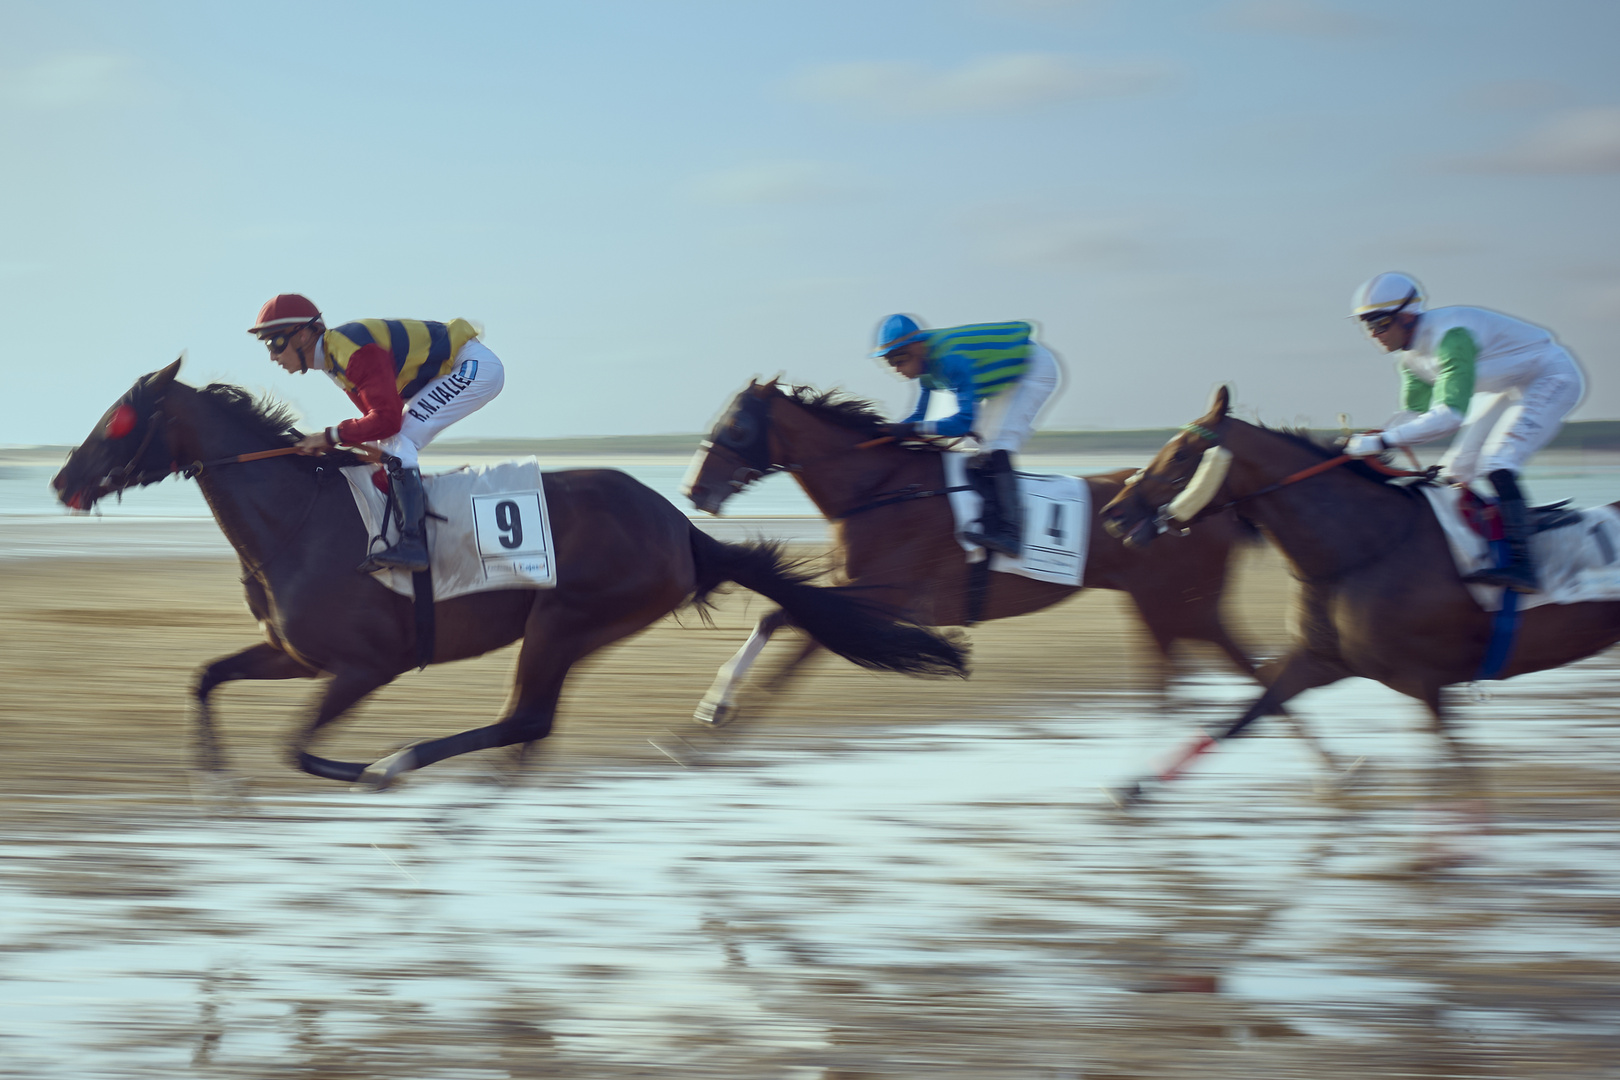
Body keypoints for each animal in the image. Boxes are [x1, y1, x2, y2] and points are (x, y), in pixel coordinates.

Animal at [50, 361, 959, 786]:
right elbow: (206, 677)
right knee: (527, 726)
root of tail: (681, 528)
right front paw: (214, 784)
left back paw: (400, 763)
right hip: (568, 628)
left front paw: (362, 770)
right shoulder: (294, 654)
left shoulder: (364, 666)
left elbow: (298, 748)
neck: (296, 519)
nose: (61, 481)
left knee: (524, 718)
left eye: (119, 419)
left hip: (564, 619)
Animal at [677, 380, 1257, 725]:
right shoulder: (852, 598)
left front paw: (716, 705)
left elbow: (779, 617)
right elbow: (783, 628)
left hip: (1184, 605)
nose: (692, 490)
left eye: (737, 426)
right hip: (1161, 607)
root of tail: (1210, 504)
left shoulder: (879, 597)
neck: (881, 489)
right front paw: (719, 708)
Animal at [1101, 386, 1620, 803]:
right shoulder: (1320, 660)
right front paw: (1135, 787)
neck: (1364, 549)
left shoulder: (1424, 680)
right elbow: (1243, 717)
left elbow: (1456, 773)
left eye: (1180, 455)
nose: (1113, 513)